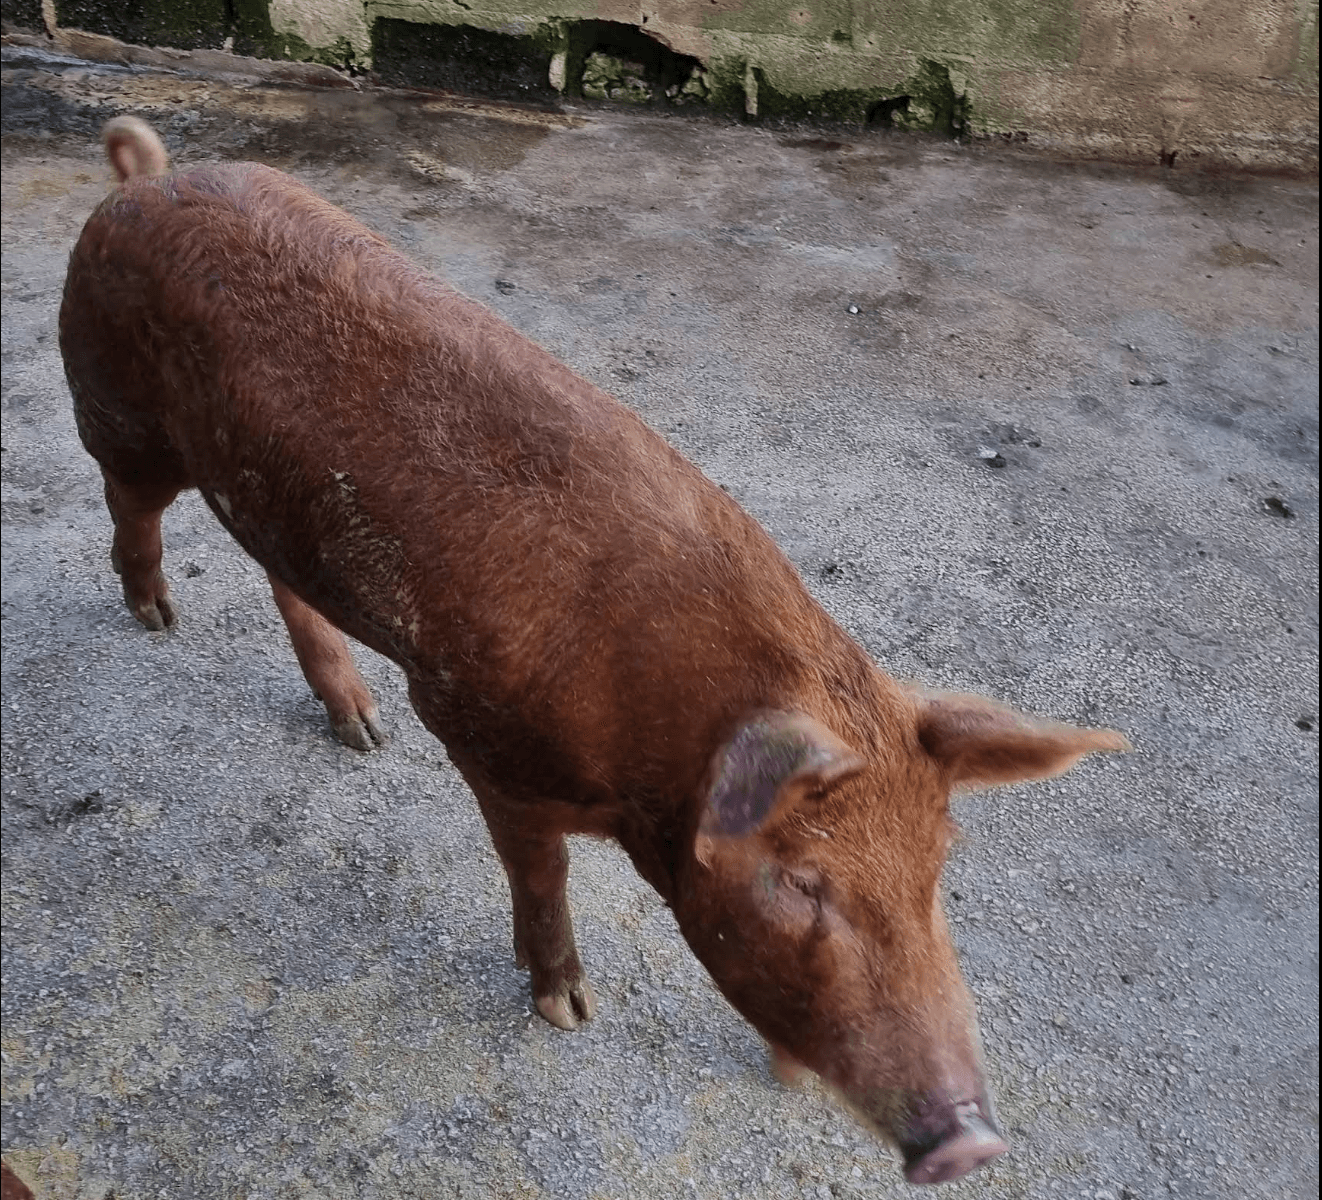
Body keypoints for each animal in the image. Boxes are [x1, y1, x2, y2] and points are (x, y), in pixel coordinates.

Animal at [60, 115, 1128, 1184]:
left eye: (938, 865)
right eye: (799, 881)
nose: (972, 1142)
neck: (646, 744)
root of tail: (140, 182)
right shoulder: (488, 748)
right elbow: (541, 880)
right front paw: (568, 1012)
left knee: (280, 576)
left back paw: (360, 731)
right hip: (119, 414)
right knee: (128, 503)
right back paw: (155, 616)